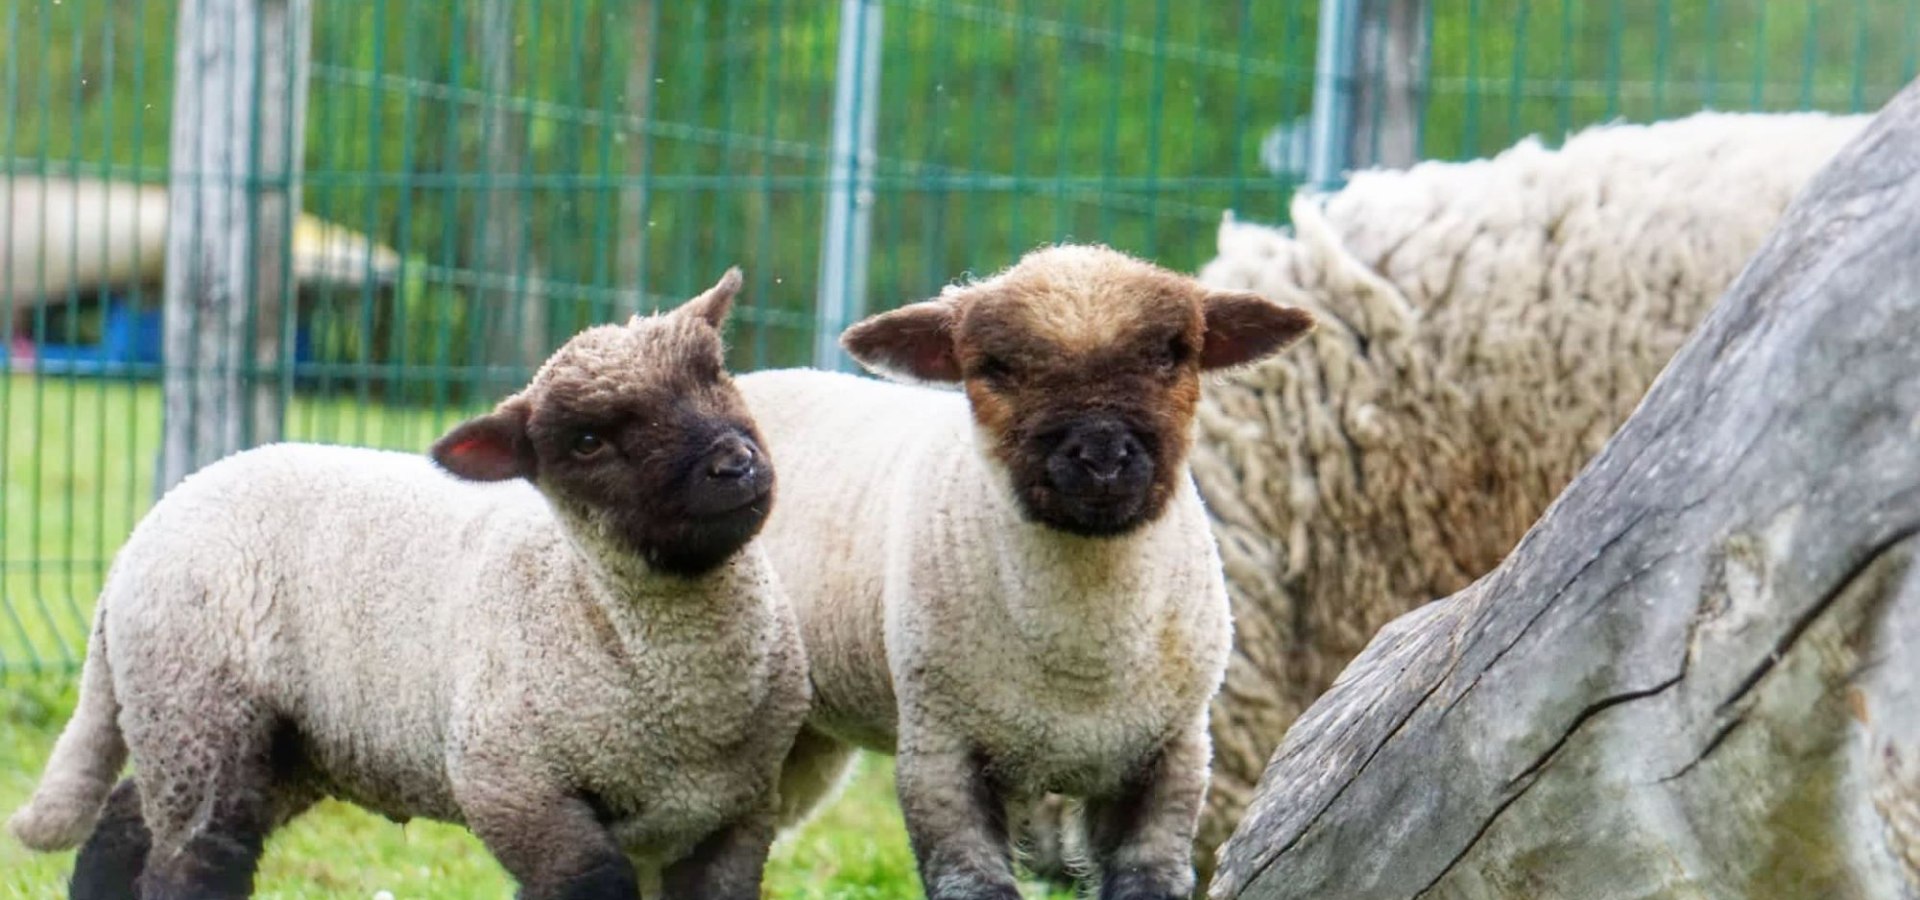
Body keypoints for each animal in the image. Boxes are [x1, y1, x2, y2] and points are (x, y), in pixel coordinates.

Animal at [5, 268, 810, 898]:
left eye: (714, 374)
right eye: (587, 441)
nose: (734, 466)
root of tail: (138, 541)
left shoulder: (738, 816)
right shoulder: (515, 787)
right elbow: (589, 880)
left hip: (264, 742)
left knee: (123, 827)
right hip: (202, 715)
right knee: (189, 862)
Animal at [725, 243, 1313, 898]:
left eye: (1173, 353)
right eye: (995, 367)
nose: (1102, 455)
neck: (1082, 663)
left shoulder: (1173, 755)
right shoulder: (941, 752)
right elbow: (974, 882)